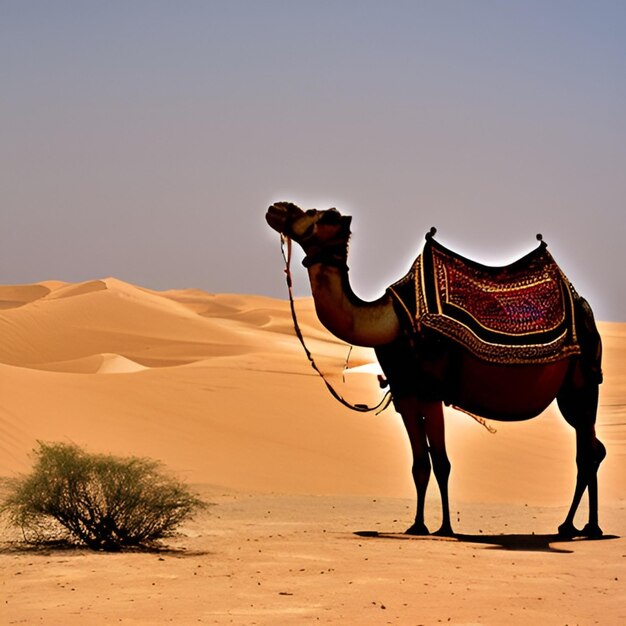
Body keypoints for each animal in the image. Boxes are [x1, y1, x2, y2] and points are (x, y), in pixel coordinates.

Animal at [264, 200, 604, 536]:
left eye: (320, 214)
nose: (277, 208)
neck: (391, 320)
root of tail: (584, 305)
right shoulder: (405, 394)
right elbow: (420, 464)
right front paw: (417, 525)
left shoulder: (430, 392)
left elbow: (441, 462)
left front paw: (445, 528)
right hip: (569, 395)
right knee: (593, 449)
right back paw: (583, 525)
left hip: (584, 382)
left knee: (587, 454)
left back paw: (579, 526)